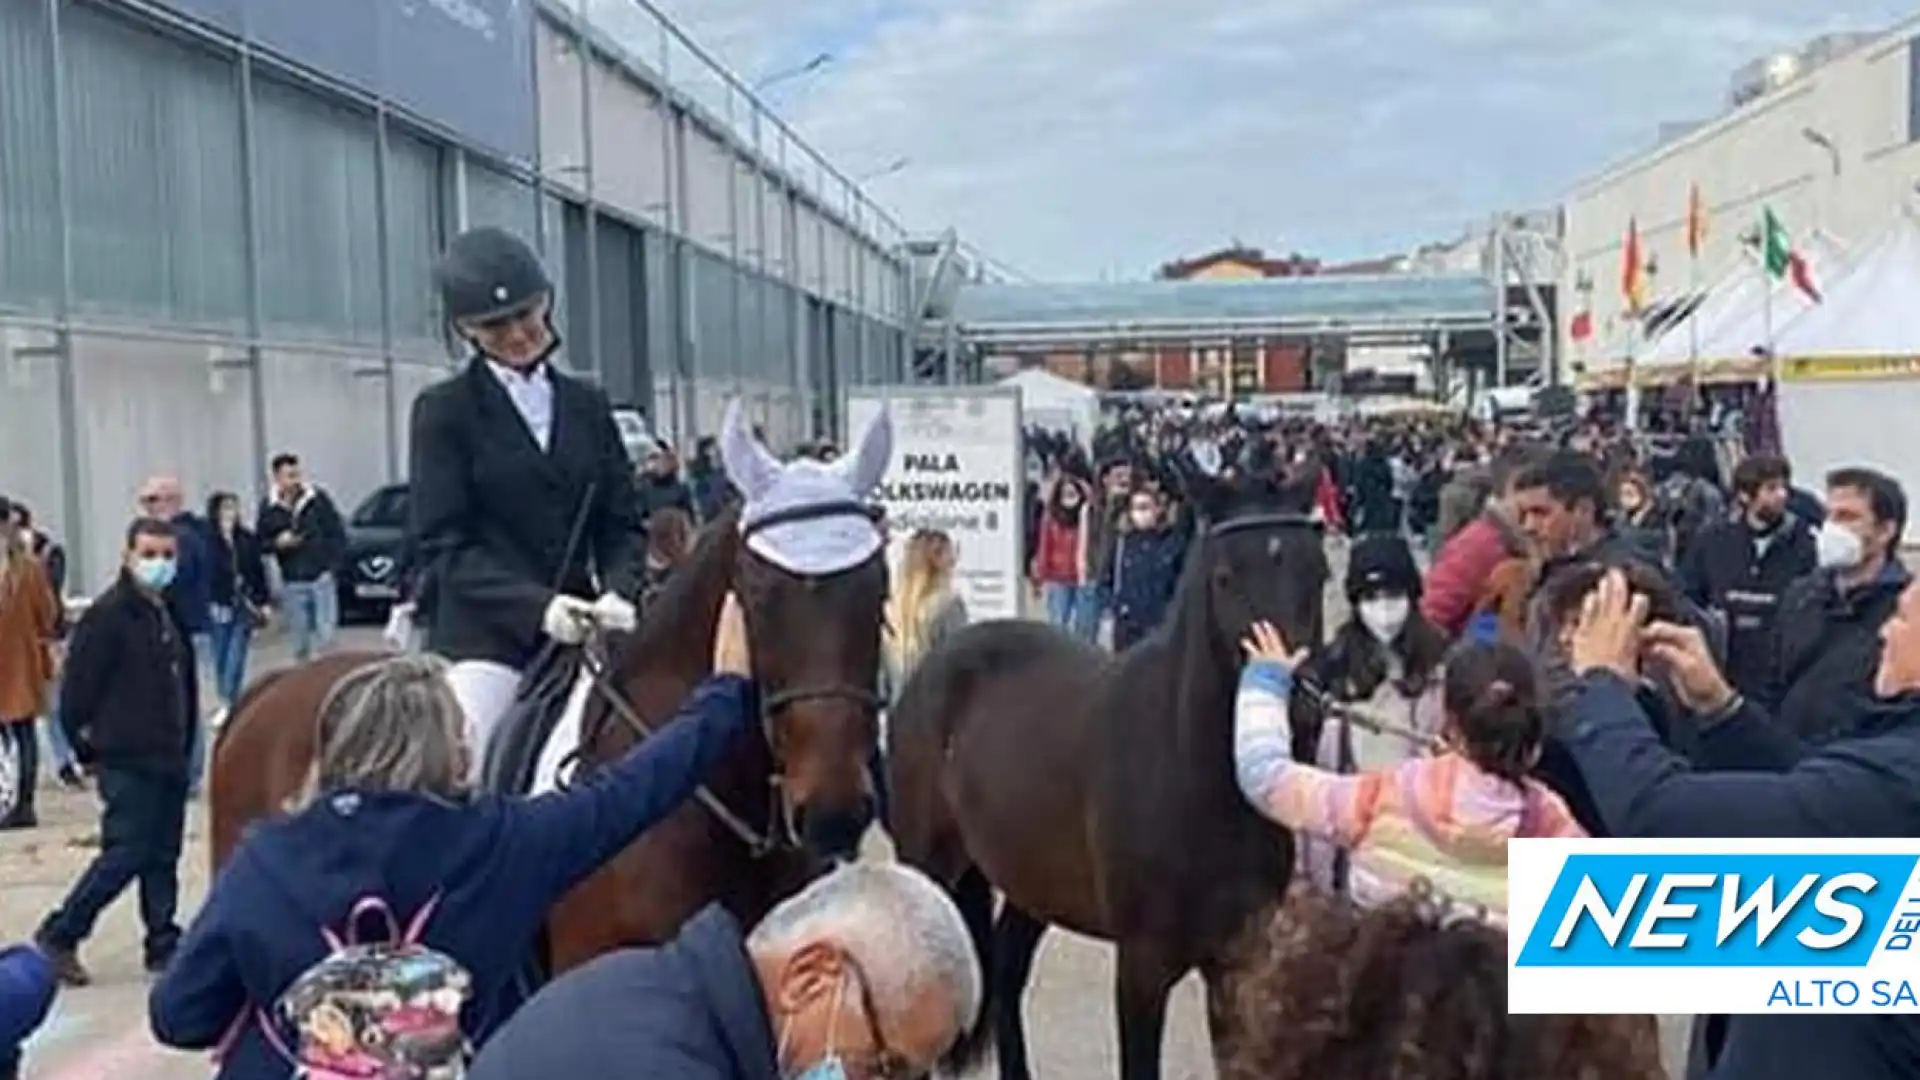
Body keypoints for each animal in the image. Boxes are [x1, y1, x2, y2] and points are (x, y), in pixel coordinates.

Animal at [887, 457, 1328, 1076]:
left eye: (1320, 574)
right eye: (1224, 577)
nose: (1300, 711)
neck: (1192, 773)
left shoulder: (1238, 965)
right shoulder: (1141, 970)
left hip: (1032, 880)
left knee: (1006, 972)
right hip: (927, 864)